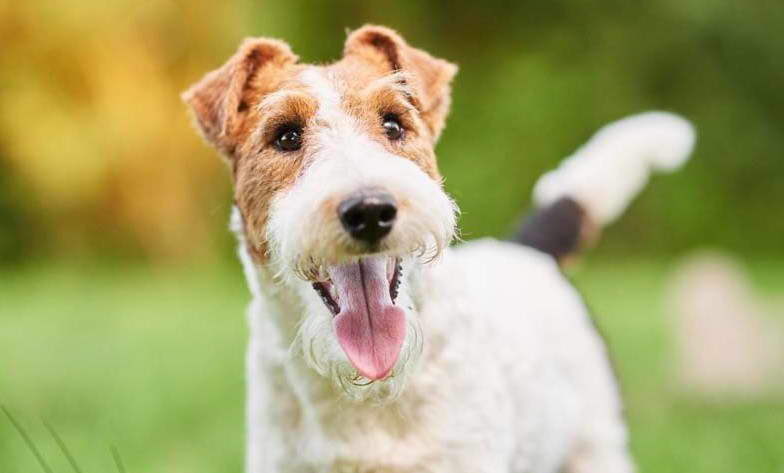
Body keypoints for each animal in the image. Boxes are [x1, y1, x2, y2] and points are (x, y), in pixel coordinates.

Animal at [185, 24, 700, 472]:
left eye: (393, 124)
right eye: (286, 135)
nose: (369, 211)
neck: (369, 393)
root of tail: (529, 251)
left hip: (598, 447)